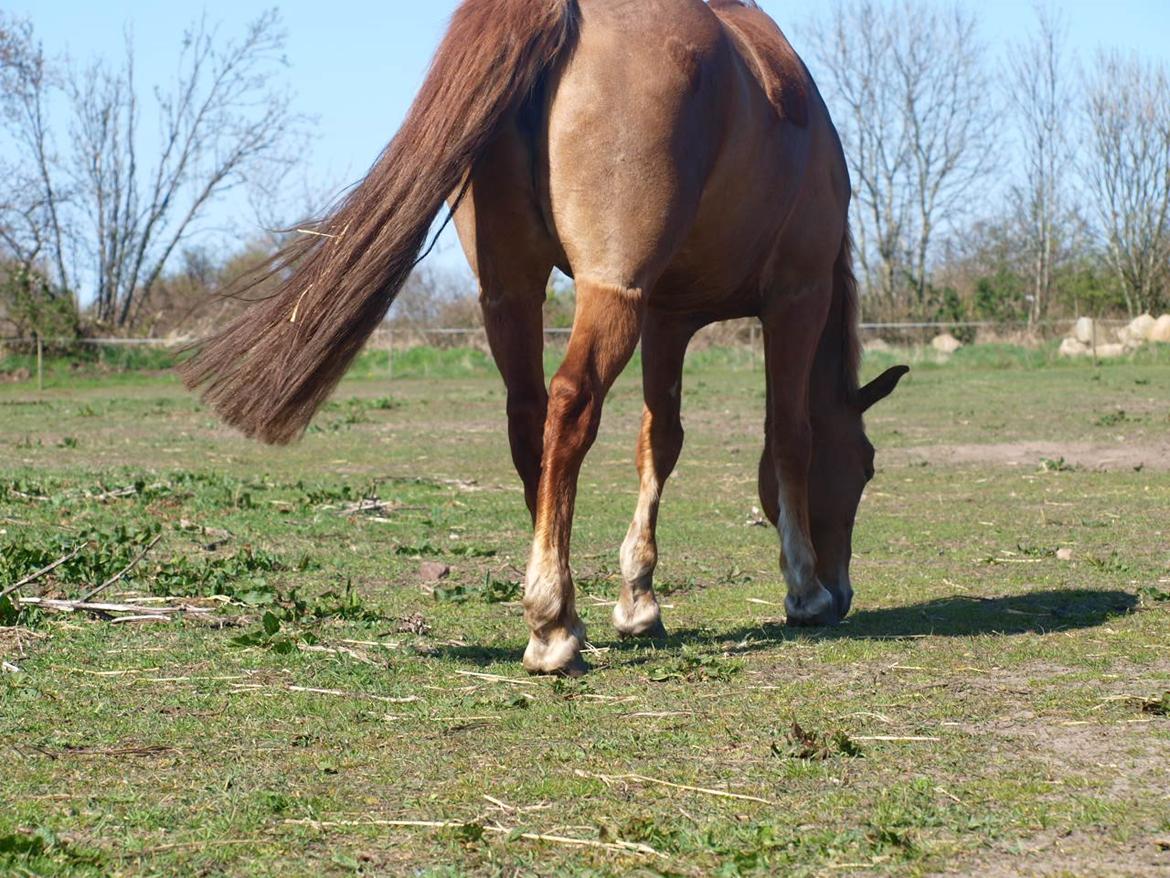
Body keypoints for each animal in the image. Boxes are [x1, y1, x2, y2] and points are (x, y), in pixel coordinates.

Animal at [180, 0, 910, 676]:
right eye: (867, 464)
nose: (843, 593)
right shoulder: (795, 298)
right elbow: (788, 437)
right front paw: (804, 589)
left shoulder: (667, 317)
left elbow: (661, 443)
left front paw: (639, 599)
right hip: (610, 293)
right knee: (569, 406)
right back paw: (554, 621)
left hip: (513, 295)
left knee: (528, 420)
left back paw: (564, 610)